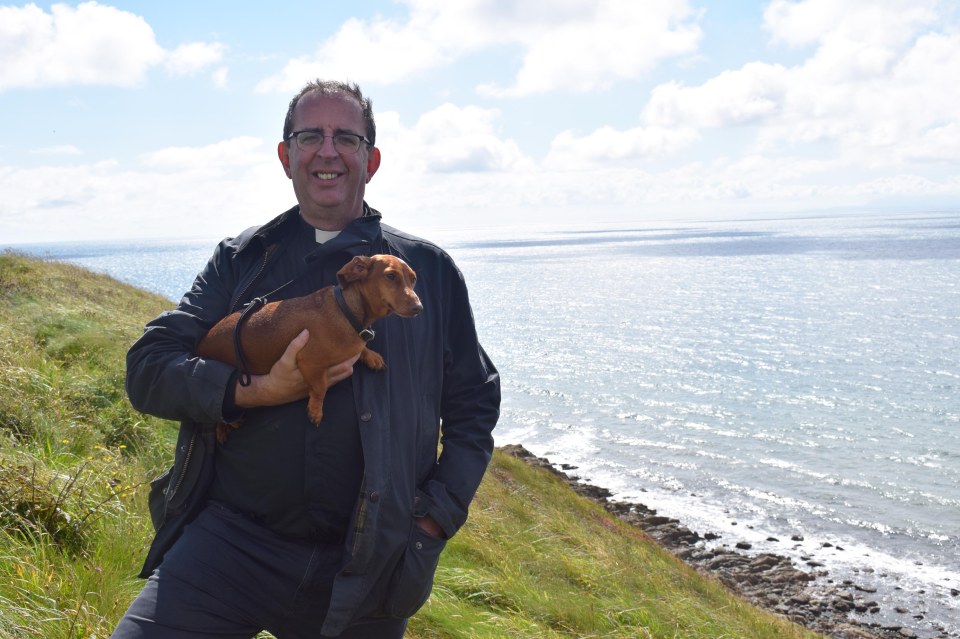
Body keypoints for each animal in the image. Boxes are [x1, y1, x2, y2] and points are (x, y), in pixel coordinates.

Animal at [197, 252, 422, 442]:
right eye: (390, 276)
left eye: (413, 279)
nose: (419, 308)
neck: (346, 311)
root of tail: (201, 344)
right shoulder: (310, 362)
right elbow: (320, 388)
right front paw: (315, 410)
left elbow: (361, 349)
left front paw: (371, 355)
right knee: (216, 416)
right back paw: (226, 426)